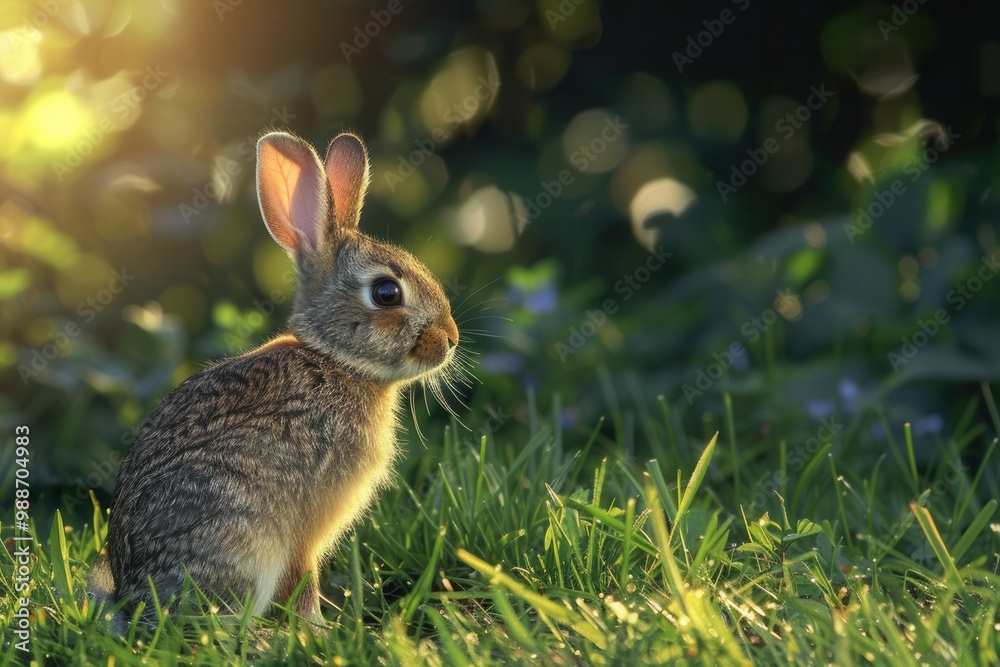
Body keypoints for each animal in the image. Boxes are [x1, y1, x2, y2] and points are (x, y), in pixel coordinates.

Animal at [88, 131, 460, 631]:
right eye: (386, 293)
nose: (450, 340)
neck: (336, 361)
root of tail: (133, 603)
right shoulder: (304, 525)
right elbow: (303, 578)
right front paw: (316, 630)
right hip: (242, 537)